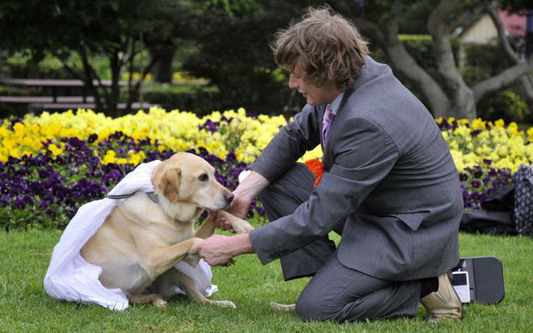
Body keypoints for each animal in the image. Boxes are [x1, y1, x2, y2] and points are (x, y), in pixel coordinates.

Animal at [80, 152, 254, 308]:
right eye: (203, 177)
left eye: (214, 174)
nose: (231, 197)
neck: (166, 210)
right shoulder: (153, 259)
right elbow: (195, 240)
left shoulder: (188, 257)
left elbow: (215, 213)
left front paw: (242, 225)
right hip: (132, 291)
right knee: (141, 299)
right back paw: (157, 301)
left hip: (176, 273)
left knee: (199, 300)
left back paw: (220, 303)